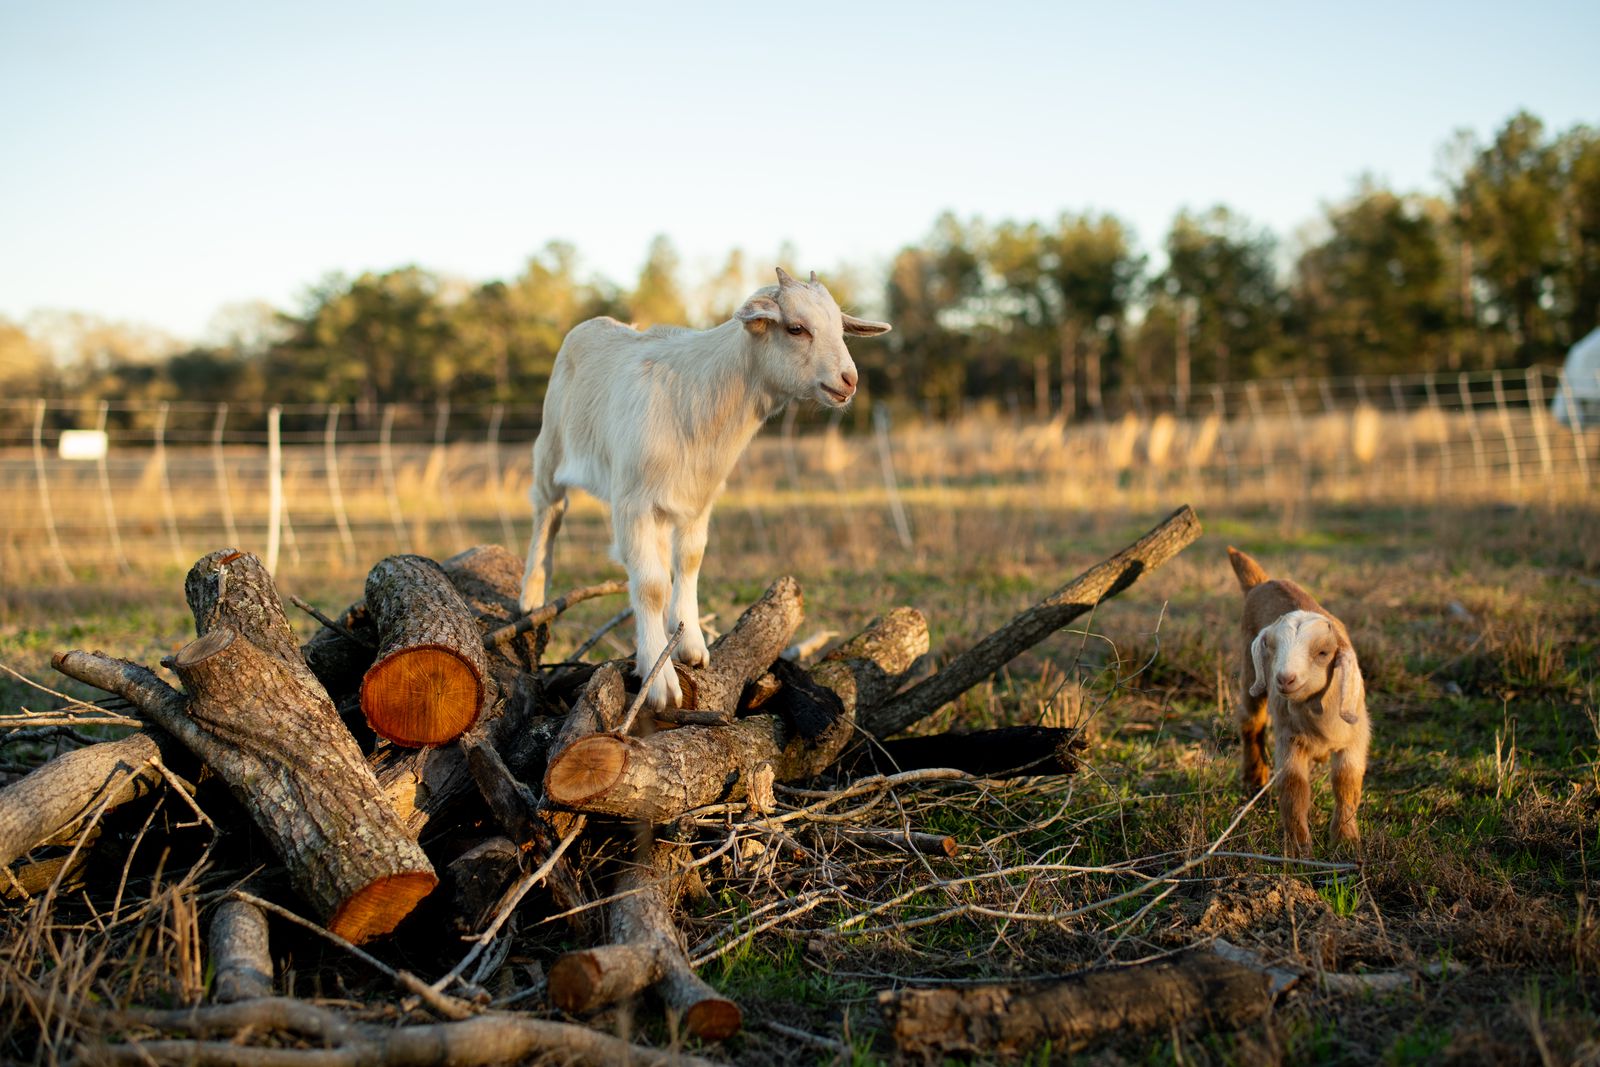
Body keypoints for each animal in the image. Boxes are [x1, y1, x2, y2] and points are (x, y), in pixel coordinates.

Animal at [519, 268, 891, 709]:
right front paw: (660, 680)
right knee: (549, 512)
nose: (848, 380)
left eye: (840, 327)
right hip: (551, 447)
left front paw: (689, 644)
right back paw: (532, 596)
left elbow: (690, 562)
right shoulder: (631, 502)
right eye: (796, 328)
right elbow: (648, 586)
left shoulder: (698, 500)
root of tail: (592, 325)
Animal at [1228, 546, 1370, 856]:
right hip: (1249, 673)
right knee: (1250, 721)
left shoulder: (1355, 738)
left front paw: (1346, 842)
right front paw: (1297, 851)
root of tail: (1262, 582)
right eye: (1270, 646)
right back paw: (1254, 777)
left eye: (1323, 653)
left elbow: (1347, 784)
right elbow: (1294, 789)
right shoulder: (1289, 738)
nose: (1284, 679)